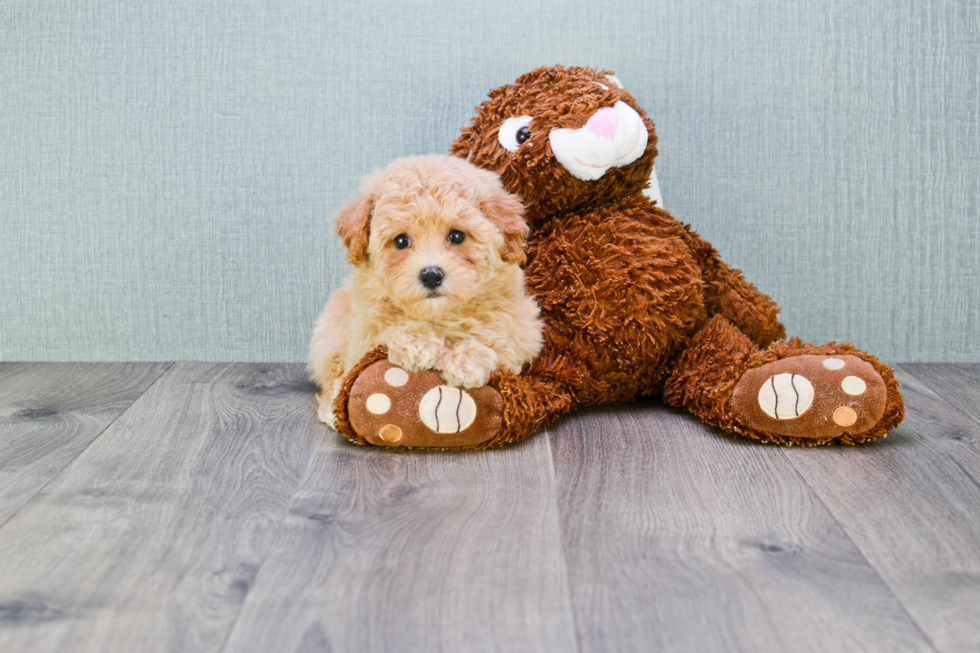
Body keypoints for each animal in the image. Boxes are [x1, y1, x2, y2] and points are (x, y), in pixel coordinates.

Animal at [308, 153, 544, 428]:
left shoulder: (520, 334)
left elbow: (498, 346)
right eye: (401, 241)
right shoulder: (360, 338)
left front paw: (466, 359)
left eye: (456, 236)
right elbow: (382, 333)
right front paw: (416, 342)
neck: (438, 315)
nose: (431, 275)